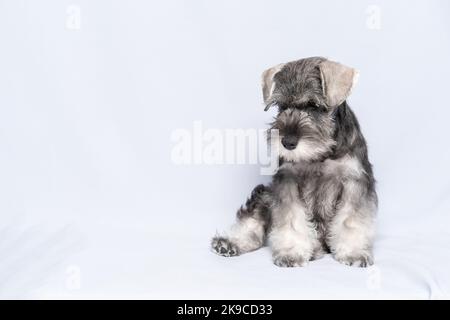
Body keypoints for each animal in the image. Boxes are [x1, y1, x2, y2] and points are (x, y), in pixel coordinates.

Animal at [211, 56, 376, 266]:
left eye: (313, 105)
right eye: (280, 106)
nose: (287, 142)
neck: (321, 154)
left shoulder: (355, 182)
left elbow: (351, 220)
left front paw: (353, 252)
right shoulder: (287, 180)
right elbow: (291, 219)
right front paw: (292, 252)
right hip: (264, 193)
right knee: (253, 222)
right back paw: (229, 242)